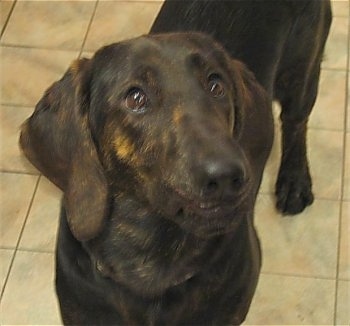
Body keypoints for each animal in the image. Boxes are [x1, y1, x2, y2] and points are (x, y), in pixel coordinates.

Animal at [20, 1, 332, 324]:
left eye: (216, 85)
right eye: (135, 97)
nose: (227, 175)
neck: (150, 257)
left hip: (302, 70)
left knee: (295, 122)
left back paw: (294, 181)